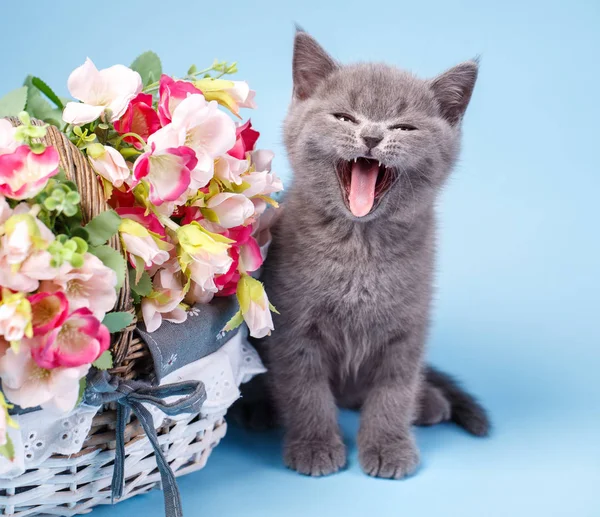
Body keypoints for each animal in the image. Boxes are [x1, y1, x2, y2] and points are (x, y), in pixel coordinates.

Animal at [232, 30, 490, 478]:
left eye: (403, 126)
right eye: (344, 118)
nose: (371, 136)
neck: (360, 247)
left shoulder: (408, 328)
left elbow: (394, 391)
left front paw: (389, 446)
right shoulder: (295, 329)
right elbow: (306, 391)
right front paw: (315, 446)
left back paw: (429, 402)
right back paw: (259, 407)